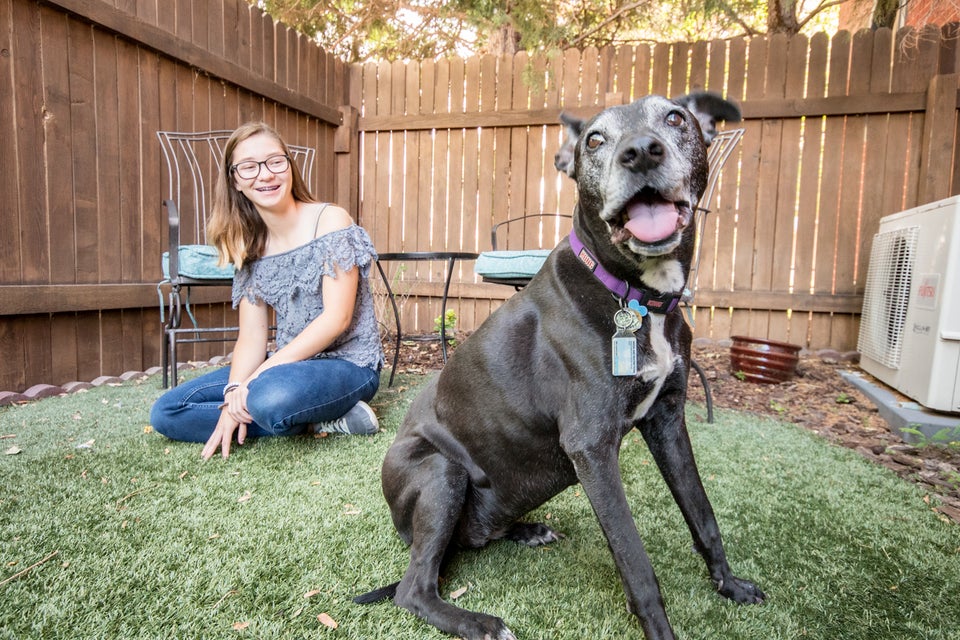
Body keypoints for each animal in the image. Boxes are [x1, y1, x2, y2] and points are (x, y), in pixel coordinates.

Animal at [356, 95, 760, 640]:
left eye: (675, 117)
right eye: (595, 140)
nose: (640, 152)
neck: (637, 298)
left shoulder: (668, 422)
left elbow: (703, 514)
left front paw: (729, 584)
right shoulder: (591, 446)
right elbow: (636, 564)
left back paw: (526, 530)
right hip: (441, 471)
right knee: (414, 587)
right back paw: (480, 623)